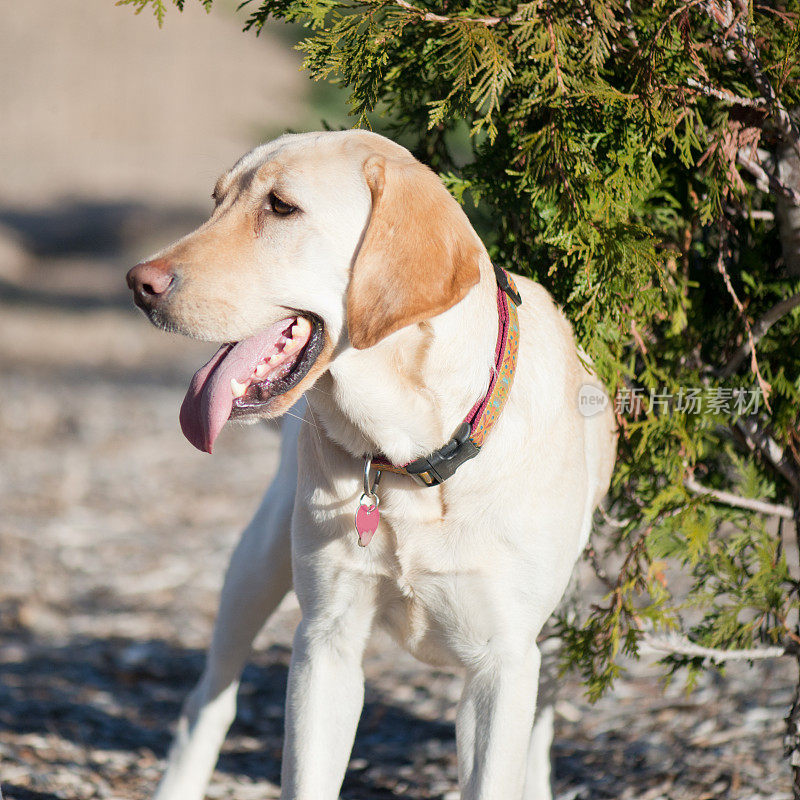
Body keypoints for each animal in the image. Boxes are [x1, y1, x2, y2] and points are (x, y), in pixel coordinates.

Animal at [125, 131, 616, 800]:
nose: (137, 282)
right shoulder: (326, 642)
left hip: (570, 621)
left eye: (281, 207)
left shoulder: (504, 663)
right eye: (215, 200)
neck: (412, 456)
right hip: (258, 561)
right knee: (209, 699)